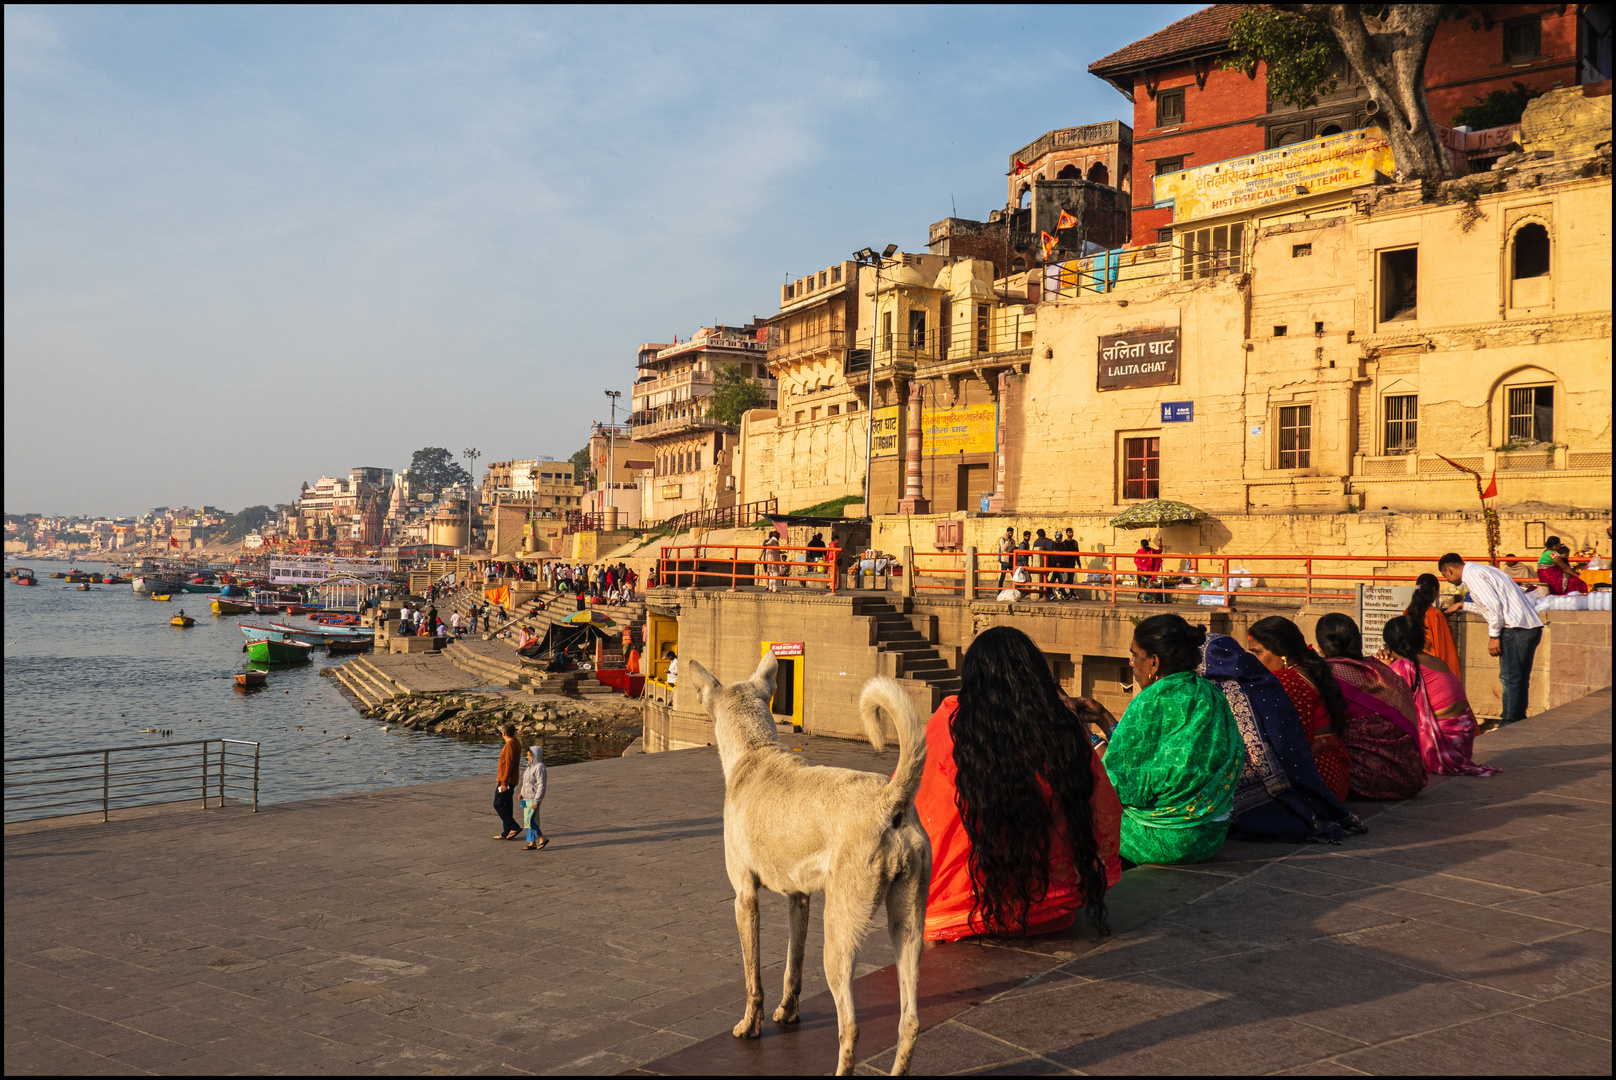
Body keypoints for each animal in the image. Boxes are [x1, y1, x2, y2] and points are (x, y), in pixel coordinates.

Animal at [685, 653, 937, 1073]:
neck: (755, 751)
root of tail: (890, 798)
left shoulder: (744, 897)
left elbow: (753, 977)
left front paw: (750, 1026)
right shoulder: (799, 897)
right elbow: (793, 964)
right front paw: (788, 1012)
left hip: (839, 932)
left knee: (850, 1028)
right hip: (908, 927)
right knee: (910, 1022)